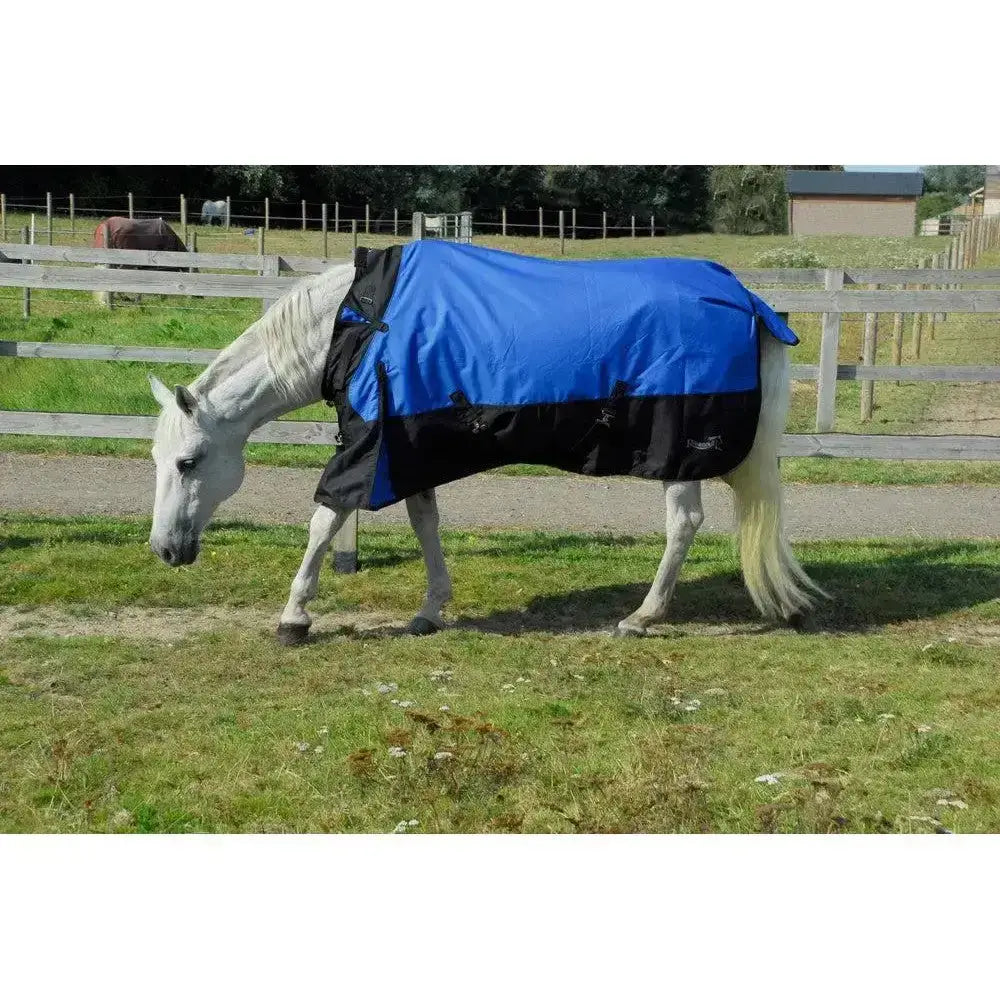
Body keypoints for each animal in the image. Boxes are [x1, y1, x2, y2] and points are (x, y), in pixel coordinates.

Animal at [147, 245, 825, 643]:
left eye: (189, 462)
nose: (165, 550)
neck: (359, 322)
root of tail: (748, 298)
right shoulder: (405, 447)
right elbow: (424, 521)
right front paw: (430, 609)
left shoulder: (369, 449)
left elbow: (324, 519)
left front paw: (294, 617)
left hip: (677, 449)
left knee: (683, 524)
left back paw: (642, 616)